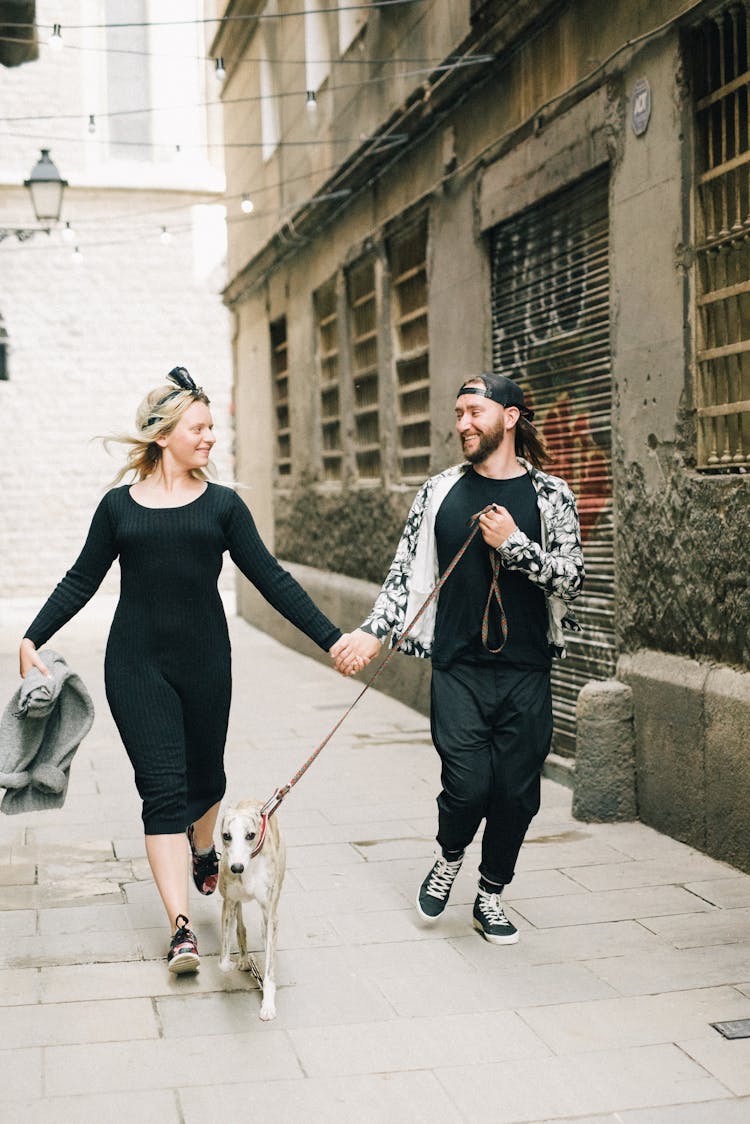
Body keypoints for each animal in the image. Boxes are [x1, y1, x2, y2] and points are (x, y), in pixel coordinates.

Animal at [220, 800, 287, 1020]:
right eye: (226, 835)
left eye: (250, 835)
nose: (236, 868)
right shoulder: (229, 902)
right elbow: (223, 961)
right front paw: (232, 963)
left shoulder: (270, 911)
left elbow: (269, 970)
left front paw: (268, 1005)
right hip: (237, 902)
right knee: (240, 928)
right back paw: (243, 958)